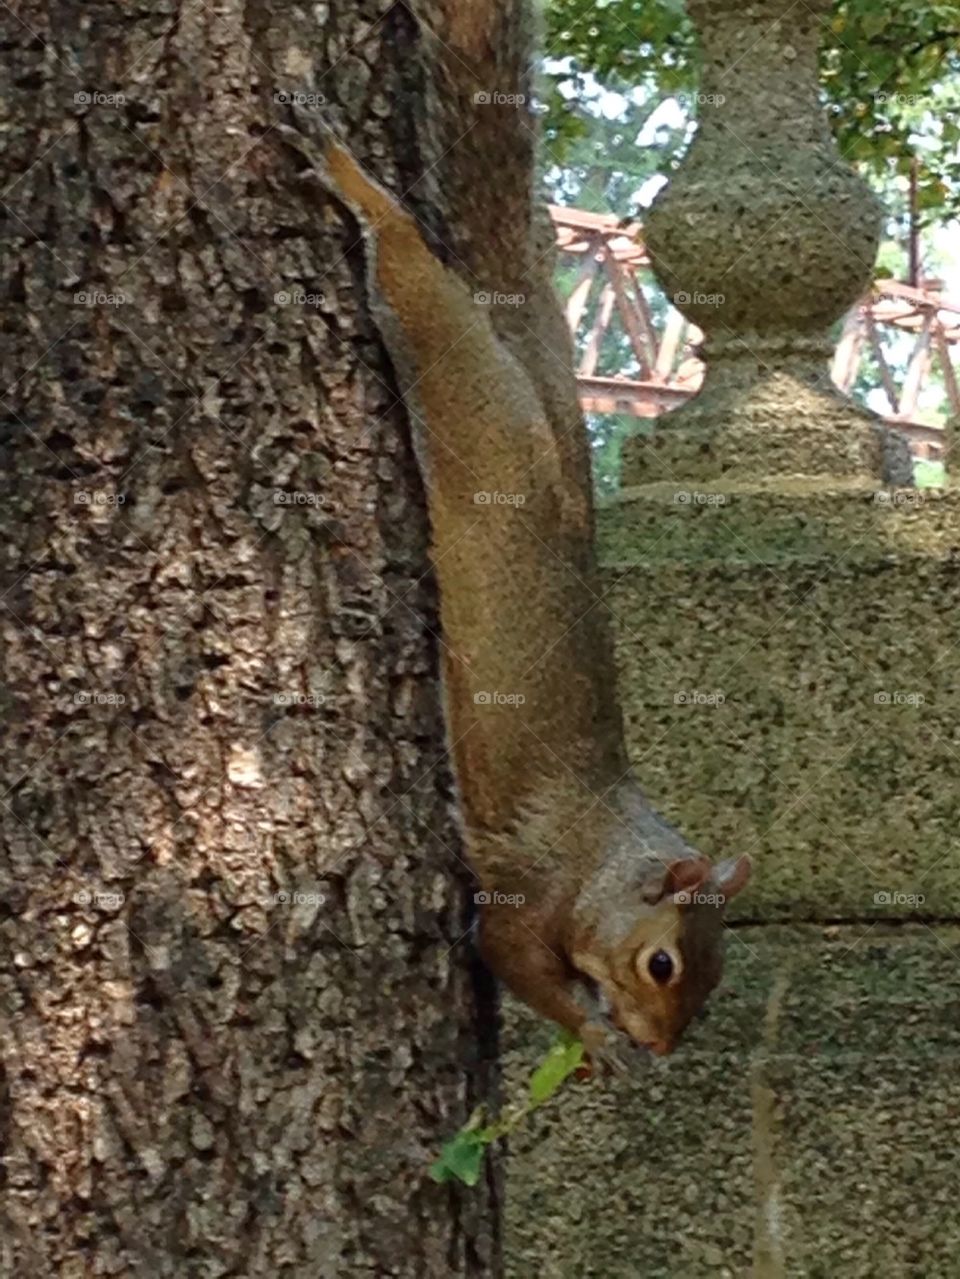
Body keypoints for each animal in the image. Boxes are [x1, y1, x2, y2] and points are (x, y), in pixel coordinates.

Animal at [279, 124, 752, 1070]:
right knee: (415, 286)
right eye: (663, 962)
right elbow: (509, 959)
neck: (601, 858)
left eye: (715, 978)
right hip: (470, 402)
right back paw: (361, 188)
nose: (661, 1048)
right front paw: (595, 1035)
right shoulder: (526, 896)